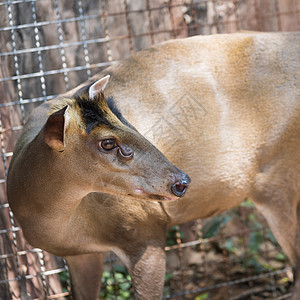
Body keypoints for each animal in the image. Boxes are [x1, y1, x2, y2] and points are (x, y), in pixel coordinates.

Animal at [5, 31, 300, 298]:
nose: (181, 181)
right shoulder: (80, 254)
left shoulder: (145, 230)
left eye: (127, 121)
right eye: (107, 143)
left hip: (277, 178)